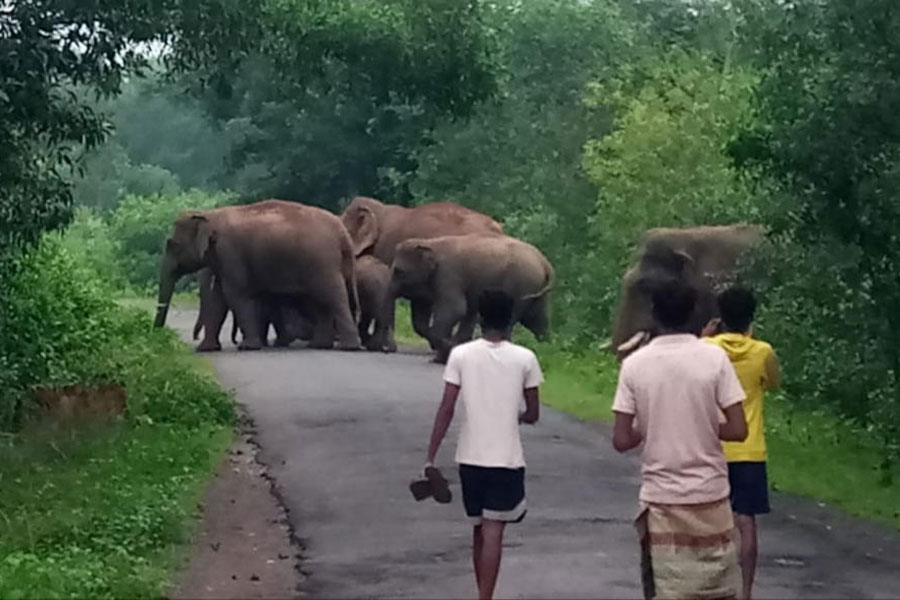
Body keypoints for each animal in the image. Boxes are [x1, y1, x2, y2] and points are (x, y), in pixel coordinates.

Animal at [156, 198, 362, 352]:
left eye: (172, 244)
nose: (158, 334)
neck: (209, 214)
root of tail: (343, 233)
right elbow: (218, 299)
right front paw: (206, 349)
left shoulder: (230, 253)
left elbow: (235, 295)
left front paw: (248, 347)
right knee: (322, 301)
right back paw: (320, 345)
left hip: (322, 262)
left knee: (333, 297)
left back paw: (348, 347)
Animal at [372, 236, 556, 364]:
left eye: (399, 271)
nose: (388, 349)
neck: (430, 243)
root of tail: (545, 263)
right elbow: (424, 317)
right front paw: (445, 354)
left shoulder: (449, 275)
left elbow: (456, 309)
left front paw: (448, 351)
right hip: (535, 290)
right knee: (537, 321)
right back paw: (547, 349)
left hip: (521, 286)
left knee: (513, 319)